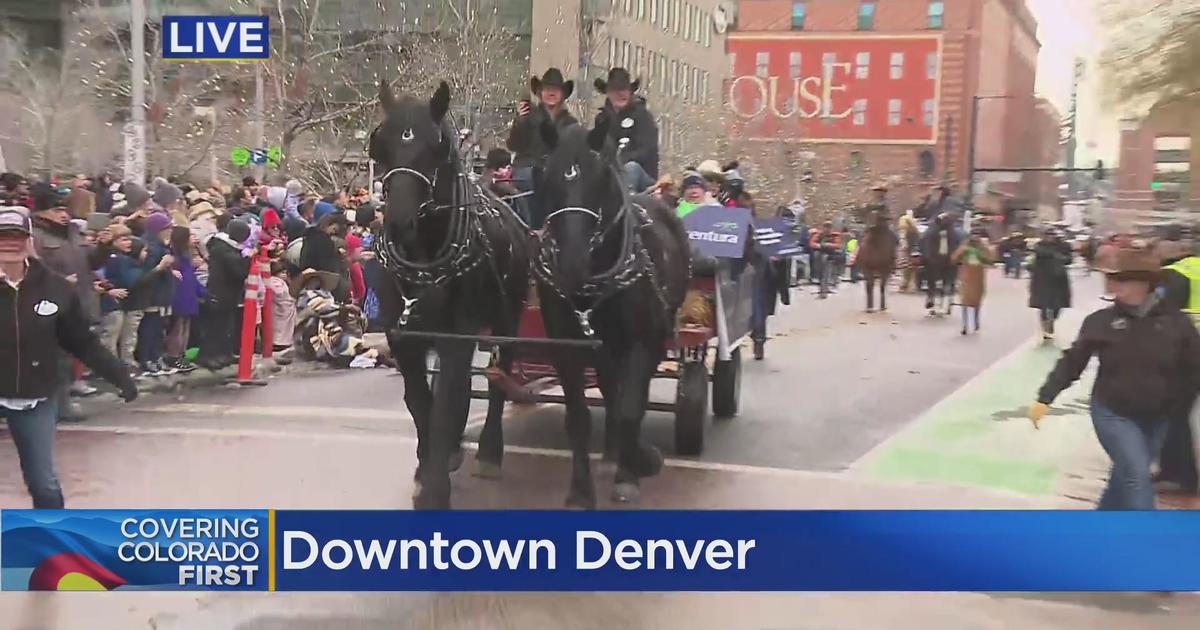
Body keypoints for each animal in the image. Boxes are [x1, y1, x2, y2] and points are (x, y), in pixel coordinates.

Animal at [369, 81, 530, 508]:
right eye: (381, 145)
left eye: (436, 146)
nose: (400, 223)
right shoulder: (402, 335)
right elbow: (420, 400)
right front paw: (427, 467)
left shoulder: (459, 333)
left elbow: (447, 403)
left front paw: (435, 489)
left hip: (508, 318)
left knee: (498, 378)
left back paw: (489, 450)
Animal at [532, 120, 691, 508]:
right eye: (547, 175)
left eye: (600, 179)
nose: (572, 263)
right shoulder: (567, 346)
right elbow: (579, 417)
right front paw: (580, 491)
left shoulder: (641, 342)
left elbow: (633, 407)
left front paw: (635, 468)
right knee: (610, 389)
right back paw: (610, 453)